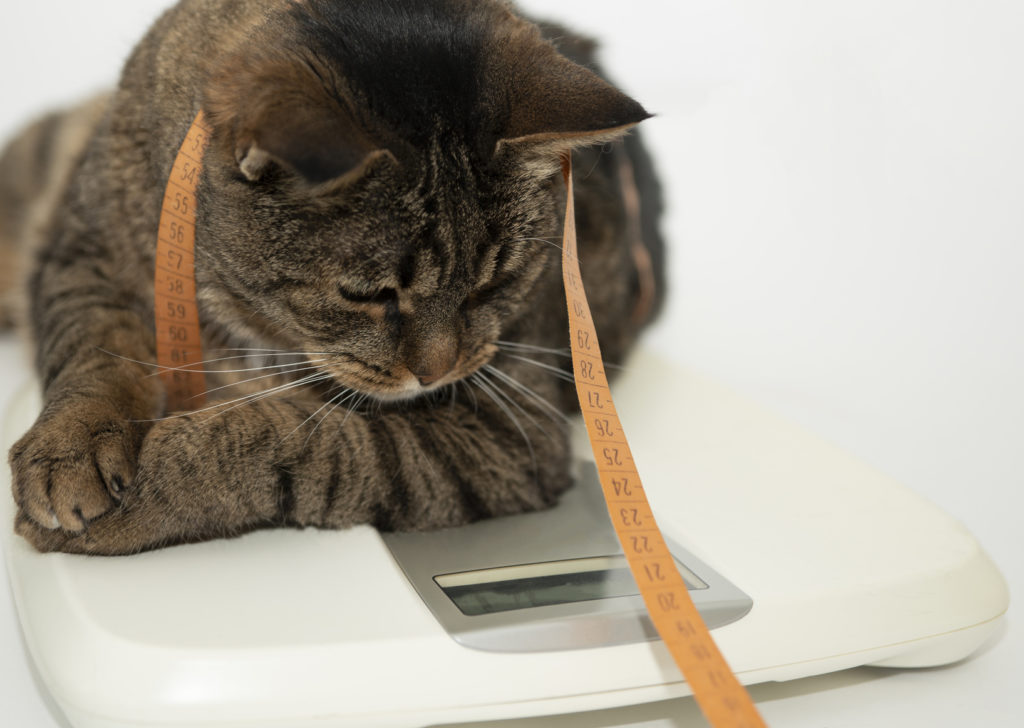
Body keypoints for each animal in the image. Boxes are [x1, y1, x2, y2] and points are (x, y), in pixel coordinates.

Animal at [0, 0, 663, 557]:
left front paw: (147, 493)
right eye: (369, 294)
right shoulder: (84, 247)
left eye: (494, 282)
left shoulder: (508, 435)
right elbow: (92, 348)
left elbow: (306, 444)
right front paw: (71, 447)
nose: (437, 373)